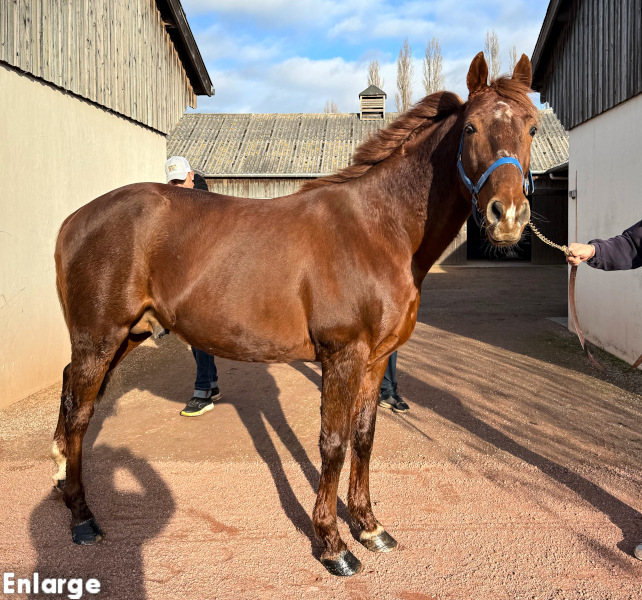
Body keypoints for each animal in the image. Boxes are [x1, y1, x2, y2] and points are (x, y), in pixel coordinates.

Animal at [52, 52, 538, 577]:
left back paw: (60, 480)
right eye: (470, 128)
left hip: (125, 336)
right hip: (100, 337)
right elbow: (333, 443)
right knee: (79, 413)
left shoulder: (374, 362)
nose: (508, 216)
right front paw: (332, 543)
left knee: (69, 392)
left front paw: (369, 526)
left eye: (531, 126)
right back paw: (82, 517)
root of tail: (75, 220)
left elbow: (364, 438)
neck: (376, 229)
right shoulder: (342, 357)